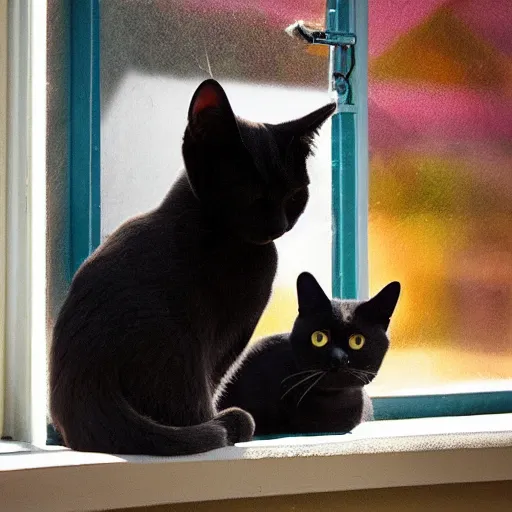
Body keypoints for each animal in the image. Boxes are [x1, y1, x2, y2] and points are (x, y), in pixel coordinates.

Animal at [49, 78, 336, 454]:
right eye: (251, 196)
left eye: (294, 196)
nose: (278, 226)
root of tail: (90, 385)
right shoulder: (229, 337)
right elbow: (215, 379)